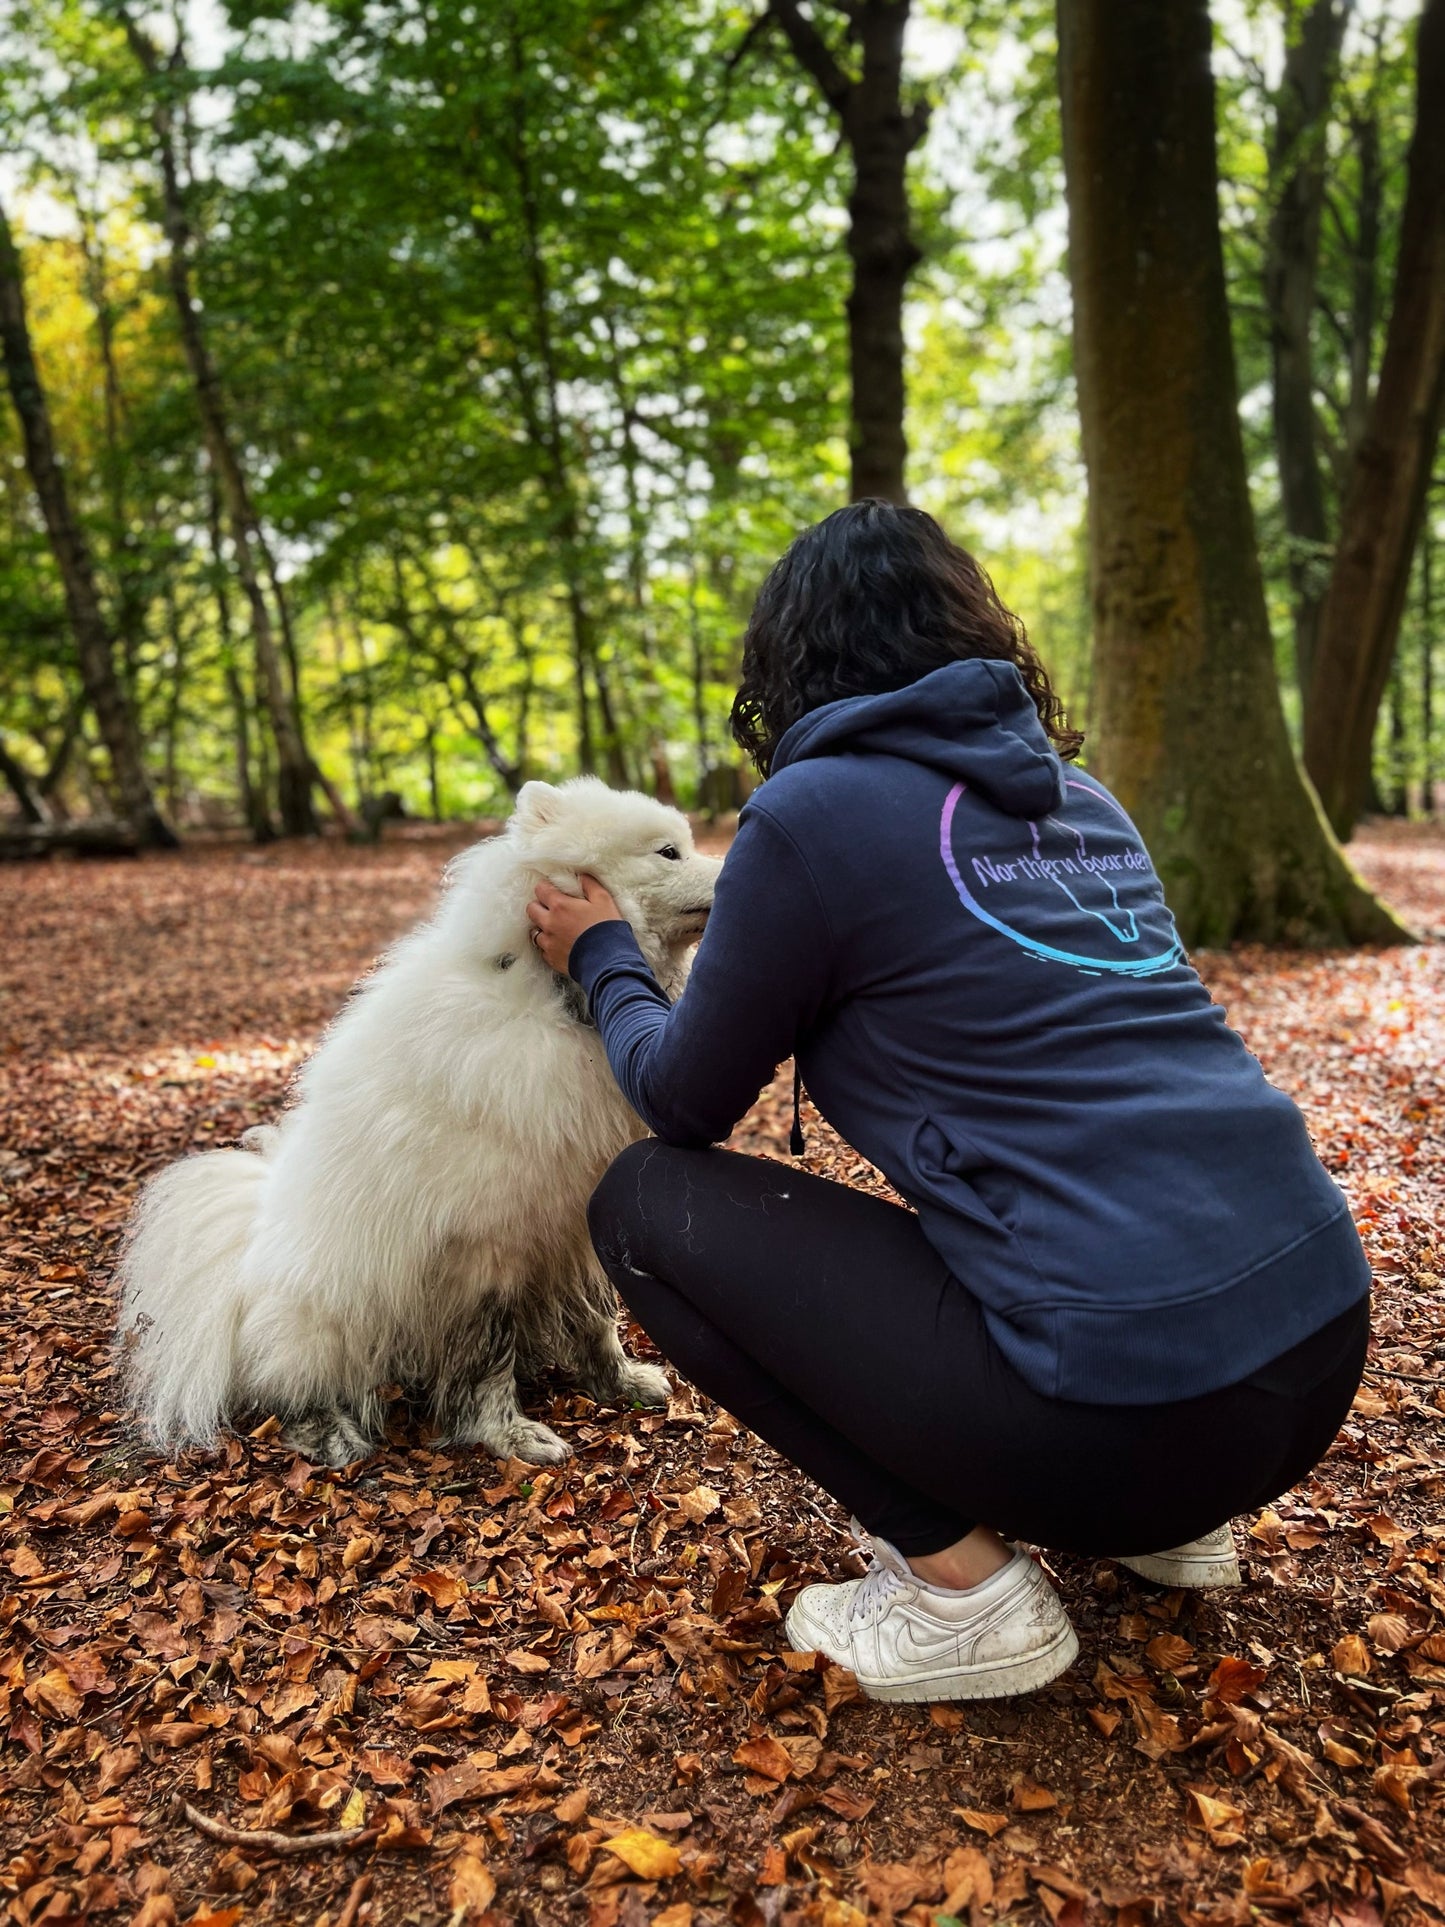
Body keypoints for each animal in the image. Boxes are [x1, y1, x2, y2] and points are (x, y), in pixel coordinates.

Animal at [116, 774, 724, 1464]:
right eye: (669, 852)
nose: (734, 865)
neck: (558, 997)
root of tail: (244, 1272)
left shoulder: (569, 1223)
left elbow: (597, 1318)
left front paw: (618, 1382)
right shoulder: (482, 1247)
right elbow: (487, 1356)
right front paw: (506, 1434)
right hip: (332, 1314)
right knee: (281, 1387)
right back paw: (330, 1432)